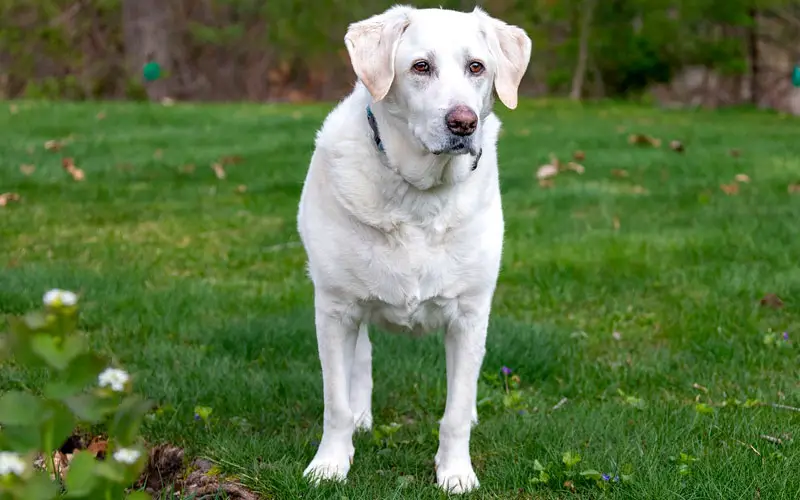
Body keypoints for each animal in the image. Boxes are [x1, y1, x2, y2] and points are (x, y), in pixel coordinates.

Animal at [294, 5, 532, 494]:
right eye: (421, 67)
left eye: (476, 67)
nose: (463, 123)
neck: (420, 195)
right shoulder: (334, 309)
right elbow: (335, 402)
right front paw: (329, 465)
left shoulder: (469, 315)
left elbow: (455, 410)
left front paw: (456, 473)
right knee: (361, 360)